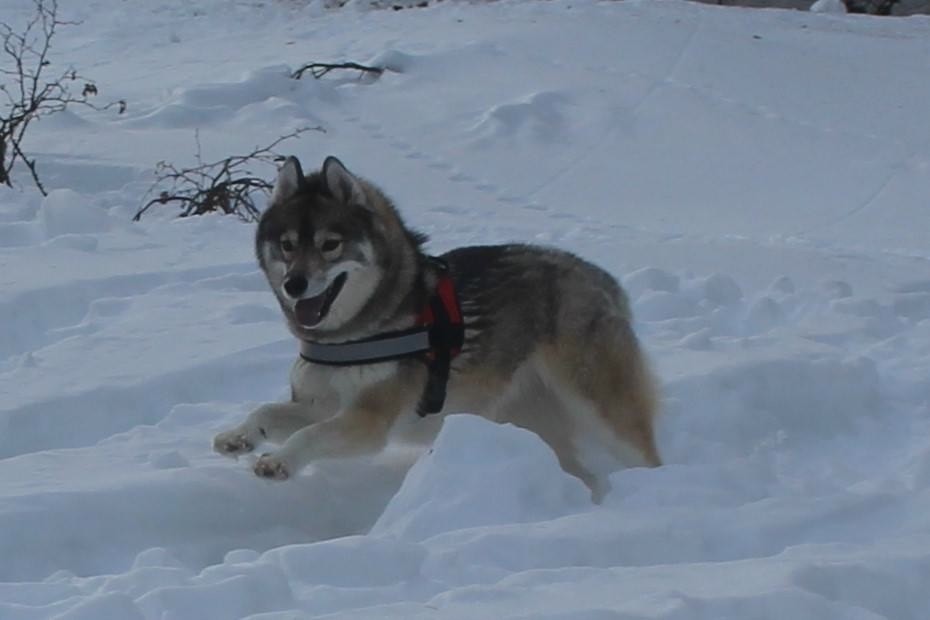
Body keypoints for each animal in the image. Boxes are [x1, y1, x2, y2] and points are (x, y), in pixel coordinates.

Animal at [212, 155, 660, 498]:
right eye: (287, 245)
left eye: (330, 245)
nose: (294, 284)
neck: (354, 332)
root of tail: (603, 279)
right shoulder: (319, 402)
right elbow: (266, 411)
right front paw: (239, 438)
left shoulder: (369, 418)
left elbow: (309, 436)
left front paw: (278, 461)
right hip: (532, 418)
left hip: (601, 407)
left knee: (646, 456)